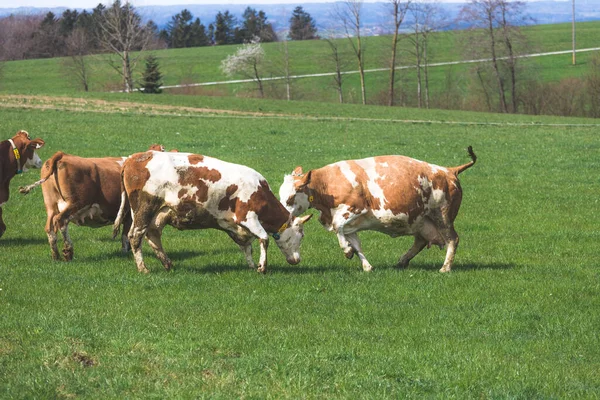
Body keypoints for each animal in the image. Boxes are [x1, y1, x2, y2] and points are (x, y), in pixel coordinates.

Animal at [110, 152, 314, 274]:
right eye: (302, 235)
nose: (297, 260)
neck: (259, 191)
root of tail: (135, 157)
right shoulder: (247, 217)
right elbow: (264, 239)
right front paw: (262, 267)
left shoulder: (232, 225)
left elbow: (246, 245)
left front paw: (251, 265)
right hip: (145, 207)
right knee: (135, 236)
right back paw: (143, 268)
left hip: (160, 212)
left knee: (152, 235)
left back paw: (167, 263)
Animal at [280, 148, 478, 276]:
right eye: (280, 195)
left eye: (290, 198)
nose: (284, 218)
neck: (326, 184)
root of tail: (448, 171)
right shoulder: (350, 225)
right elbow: (355, 243)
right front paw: (366, 266)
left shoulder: (355, 209)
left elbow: (338, 227)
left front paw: (346, 251)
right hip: (421, 220)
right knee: (421, 240)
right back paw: (403, 260)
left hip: (442, 216)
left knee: (452, 239)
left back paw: (445, 268)